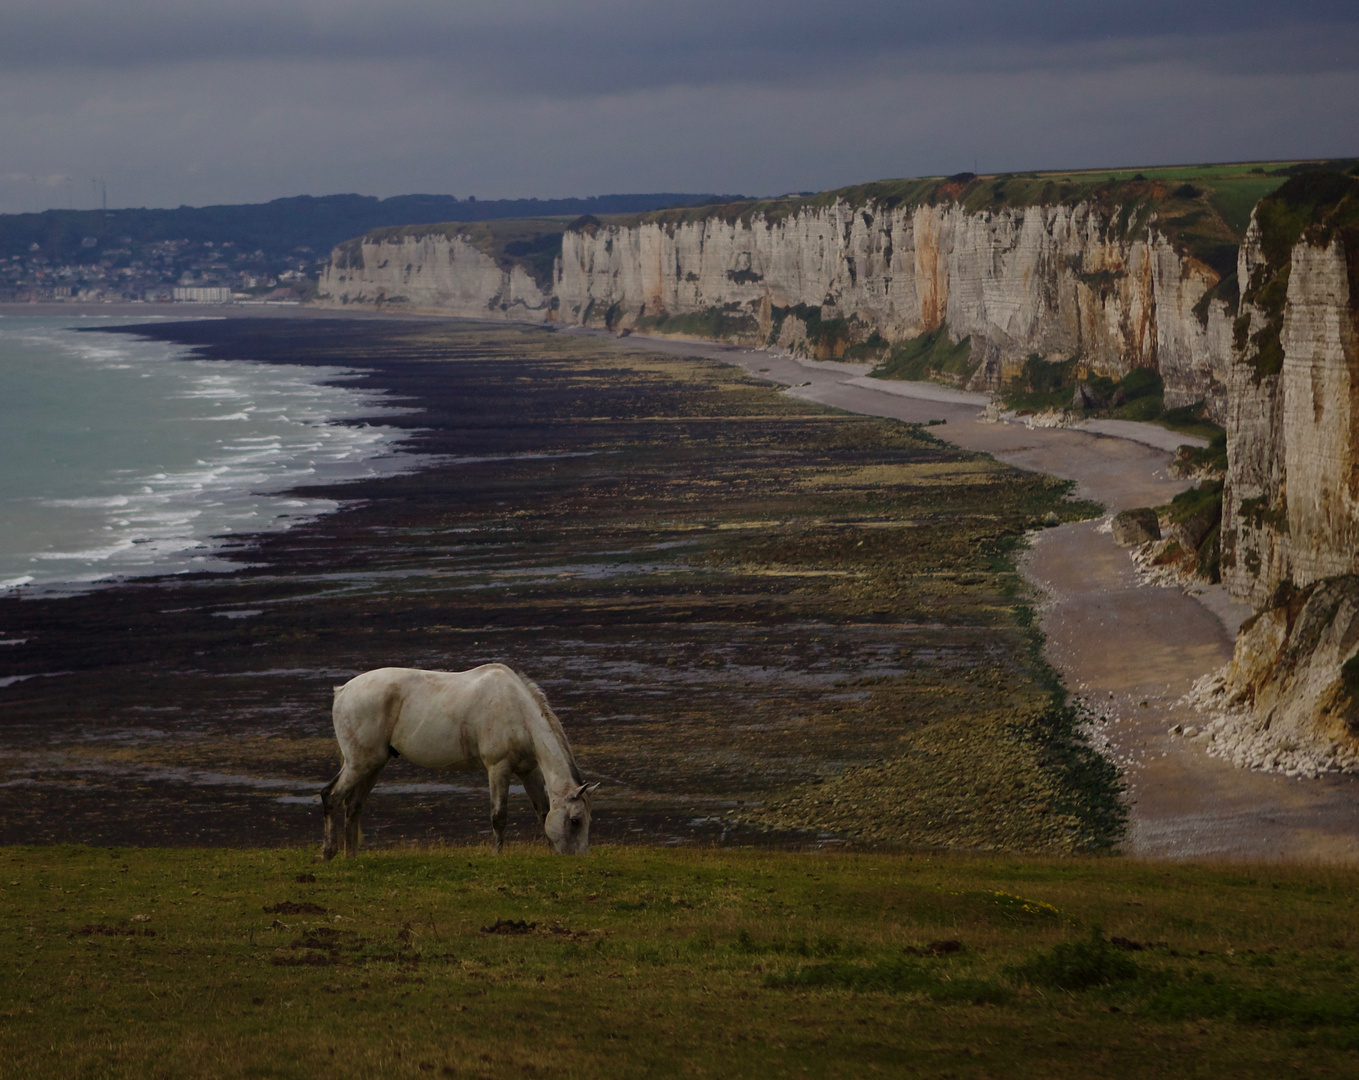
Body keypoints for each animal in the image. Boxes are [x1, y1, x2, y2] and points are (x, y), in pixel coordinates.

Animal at [320, 662, 597, 858]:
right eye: (575, 821)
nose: (578, 858)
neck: (516, 709)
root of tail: (342, 691)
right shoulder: (498, 767)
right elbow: (499, 816)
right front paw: (496, 855)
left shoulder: (528, 770)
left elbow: (543, 811)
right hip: (359, 764)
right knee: (330, 796)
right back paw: (329, 853)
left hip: (373, 765)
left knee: (353, 807)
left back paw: (351, 857)